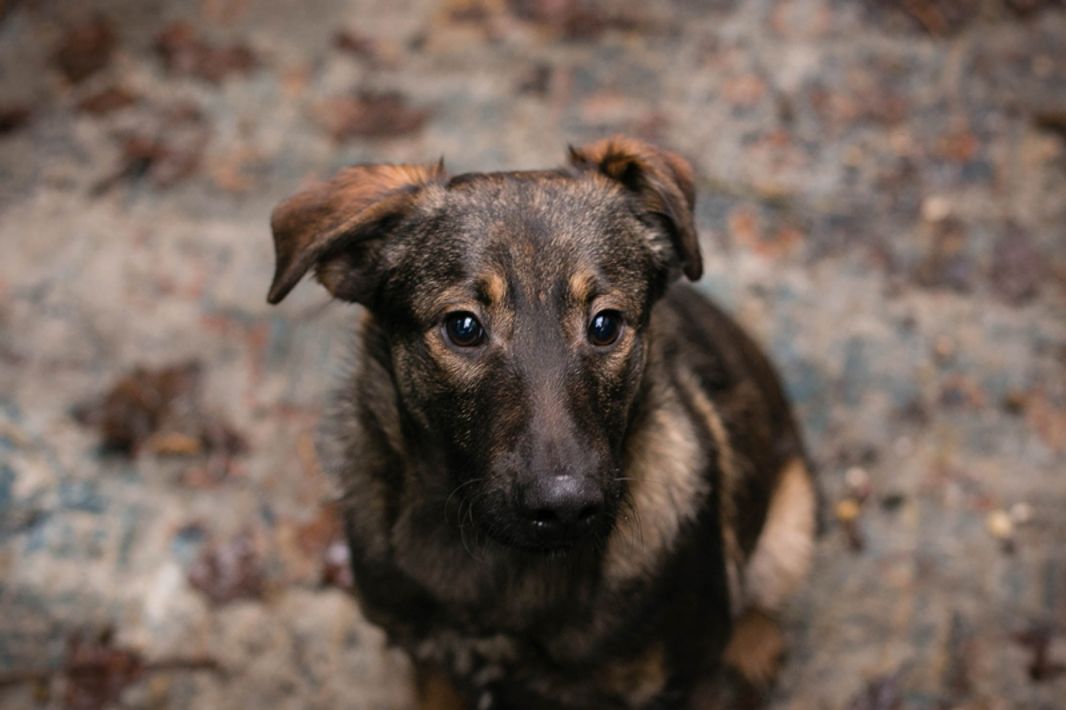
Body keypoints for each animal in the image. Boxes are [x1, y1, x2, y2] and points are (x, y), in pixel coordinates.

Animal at [266, 136, 817, 709]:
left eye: (606, 324)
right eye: (463, 327)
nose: (565, 508)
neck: (498, 566)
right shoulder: (430, 661)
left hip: (792, 521)